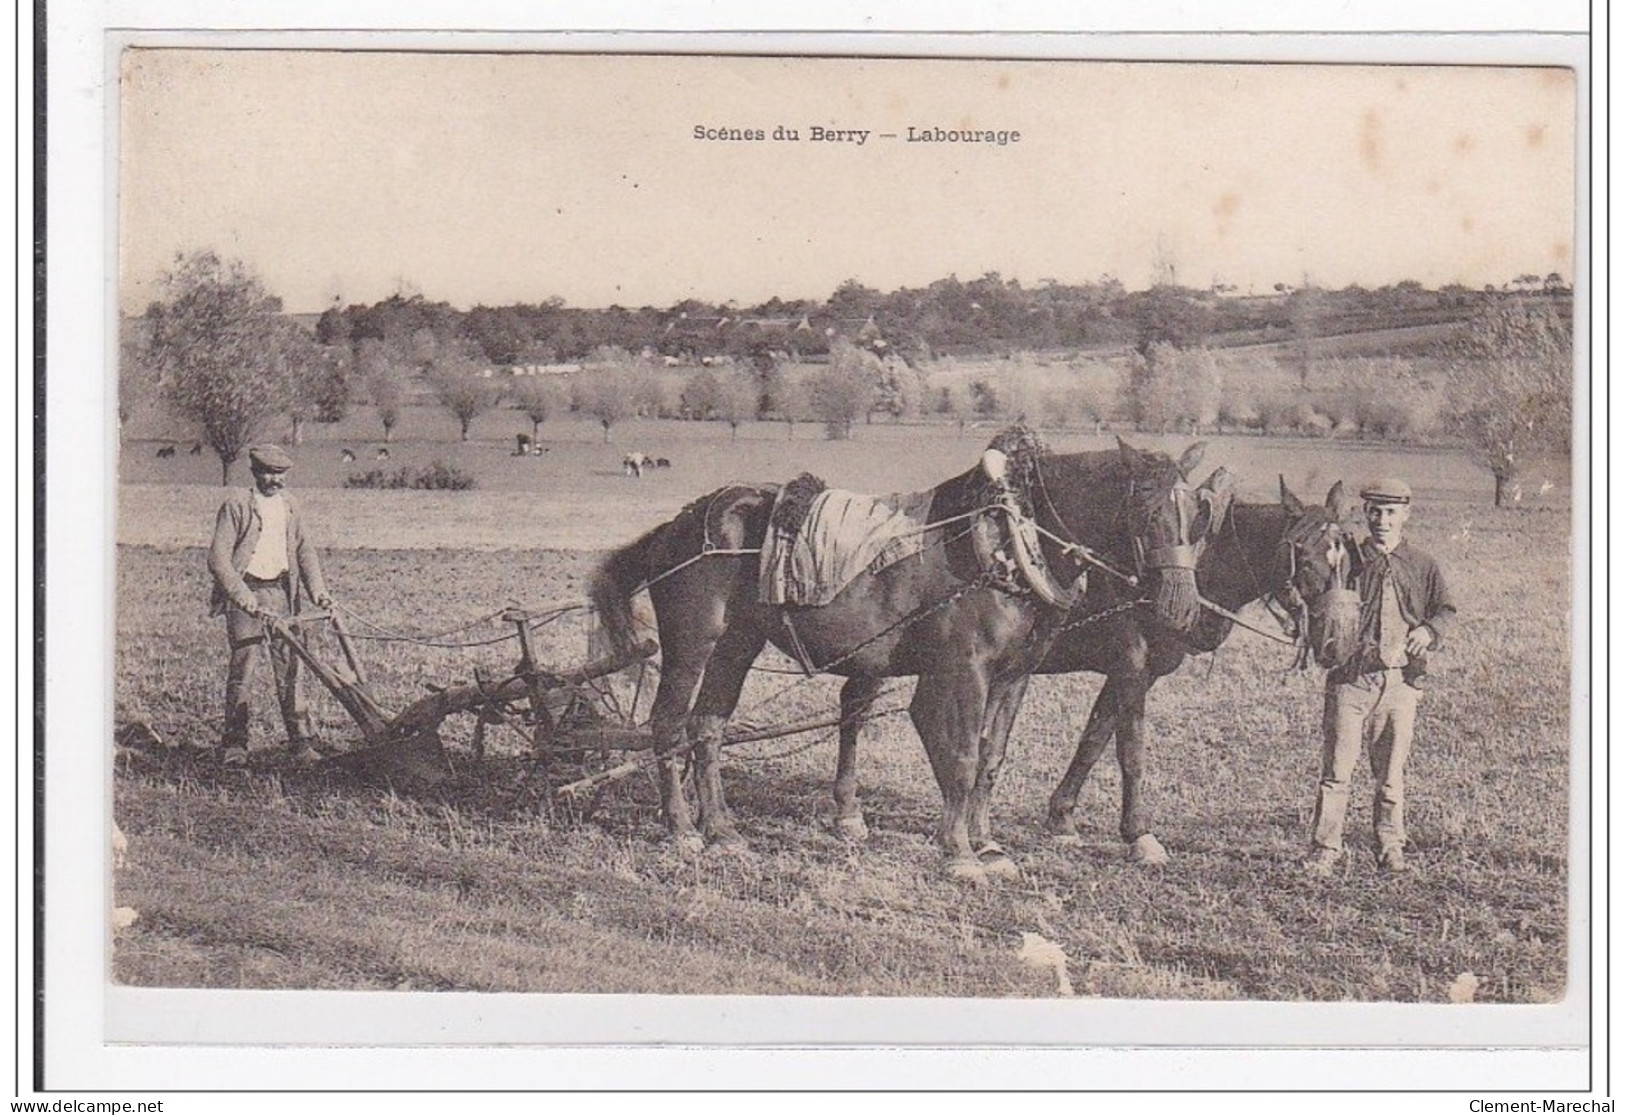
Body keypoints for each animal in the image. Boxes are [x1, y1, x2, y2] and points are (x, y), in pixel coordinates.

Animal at [591, 435, 1222, 884]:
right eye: (1147, 513)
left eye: (1198, 516)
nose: (1180, 603)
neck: (1007, 544)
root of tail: (677, 524)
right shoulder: (961, 671)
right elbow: (960, 758)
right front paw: (960, 852)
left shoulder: (1013, 675)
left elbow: (990, 758)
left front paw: (987, 843)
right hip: (694, 642)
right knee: (669, 725)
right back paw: (682, 830)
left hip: (736, 647)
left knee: (707, 728)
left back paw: (722, 830)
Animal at [832, 477, 1365, 864]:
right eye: (1305, 557)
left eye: (1350, 562)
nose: (1339, 641)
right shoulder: (1131, 665)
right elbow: (1130, 752)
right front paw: (1139, 835)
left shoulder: (1131, 672)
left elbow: (1093, 740)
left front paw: (1061, 820)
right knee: (855, 712)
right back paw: (849, 813)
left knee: (853, 705)